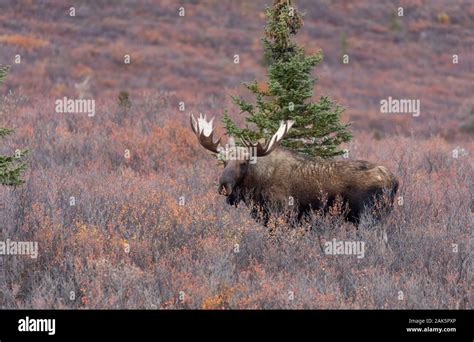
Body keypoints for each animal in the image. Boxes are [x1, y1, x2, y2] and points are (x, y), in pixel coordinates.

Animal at [191, 113, 398, 224]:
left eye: (243, 163)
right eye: (223, 162)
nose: (224, 186)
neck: (255, 187)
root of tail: (395, 181)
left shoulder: (284, 214)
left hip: (370, 215)